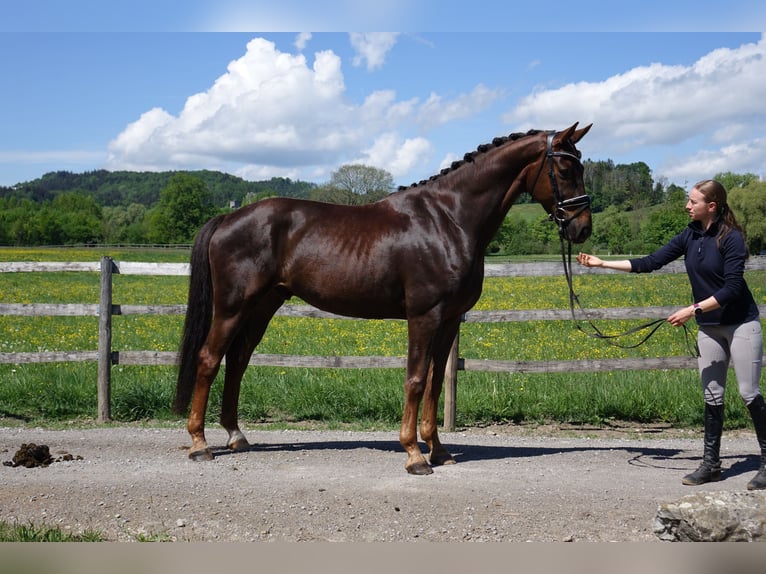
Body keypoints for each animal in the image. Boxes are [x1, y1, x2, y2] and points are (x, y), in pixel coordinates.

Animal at [173, 122, 592, 475]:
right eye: (565, 170)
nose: (582, 228)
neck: (449, 220)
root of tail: (227, 219)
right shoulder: (424, 316)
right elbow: (416, 380)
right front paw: (414, 455)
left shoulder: (449, 320)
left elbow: (435, 383)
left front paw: (439, 451)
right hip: (233, 306)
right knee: (209, 359)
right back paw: (200, 444)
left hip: (263, 306)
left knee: (237, 361)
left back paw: (236, 436)